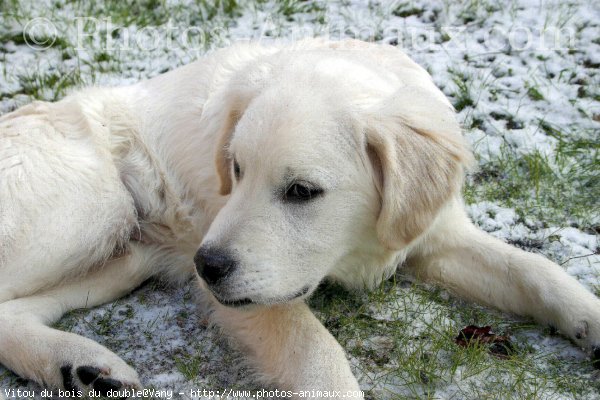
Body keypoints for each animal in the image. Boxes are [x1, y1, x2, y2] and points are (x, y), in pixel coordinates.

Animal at [1, 39, 600, 396]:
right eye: (236, 169)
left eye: (301, 191)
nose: (205, 266)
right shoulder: (254, 294)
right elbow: (315, 350)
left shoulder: (434, 236)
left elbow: (536, 270)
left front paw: (589, 320)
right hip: (89, 208)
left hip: (123, 254)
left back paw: (81, 366)